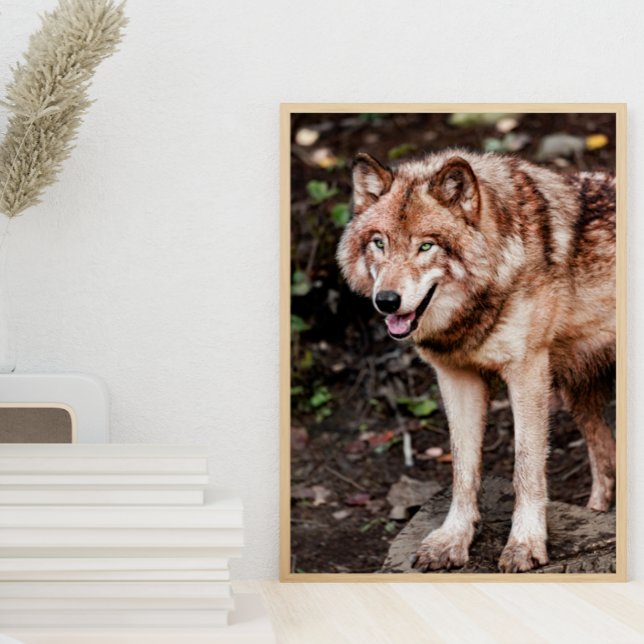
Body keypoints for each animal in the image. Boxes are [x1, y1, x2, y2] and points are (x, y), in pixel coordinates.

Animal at [337, 149, 616, 573]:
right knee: (606, 461)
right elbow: (463, 468)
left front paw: (525, 544)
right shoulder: (456, 378)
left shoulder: (528, 373)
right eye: (379, 243)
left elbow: (526, 467)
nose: (386, 301)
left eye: (426, 246)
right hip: (577, 395)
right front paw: (453, 539)